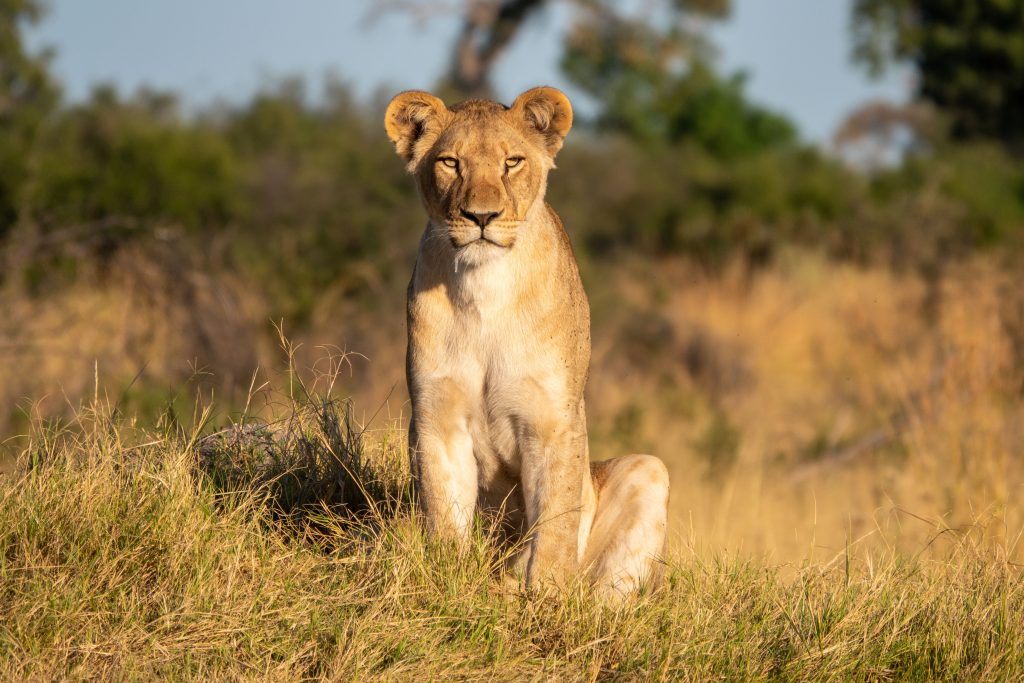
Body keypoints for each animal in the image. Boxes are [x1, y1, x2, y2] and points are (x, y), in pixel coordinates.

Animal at [384, 86, 669, 598]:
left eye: (512, 162)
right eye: (450, 163)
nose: (481, 216)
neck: (484, 288)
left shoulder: (553, 419)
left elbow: (554, 520)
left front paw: (548, 594)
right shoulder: (436, 416)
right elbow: (443, 508)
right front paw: (447, 583)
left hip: (649, 468)